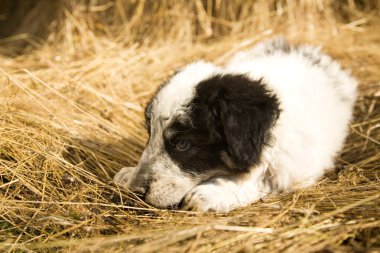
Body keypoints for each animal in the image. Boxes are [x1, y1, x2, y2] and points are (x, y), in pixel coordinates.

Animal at [113, 38, 356, 211]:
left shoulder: (298, 167)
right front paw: (128, 174)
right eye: (150, 133)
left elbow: (262, 178)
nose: (136, 190)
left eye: (182, 143)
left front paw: (212, 193)